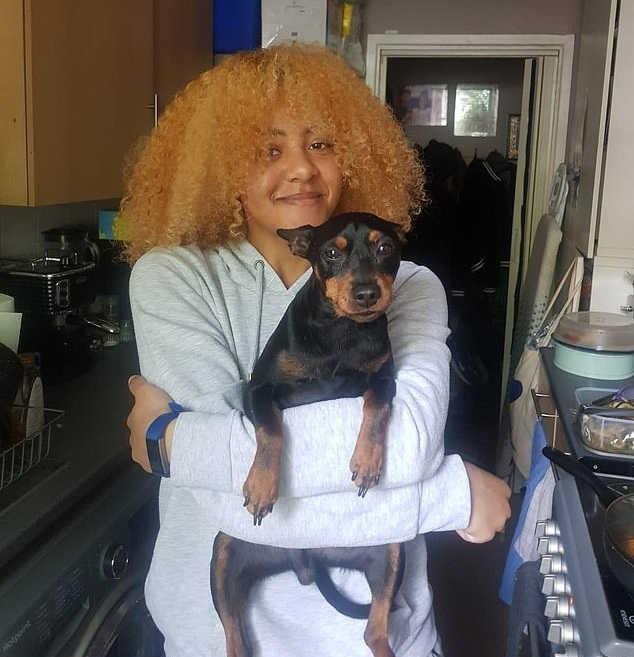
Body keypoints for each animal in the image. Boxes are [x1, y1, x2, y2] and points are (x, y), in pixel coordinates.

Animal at [211, 212, 406, 657]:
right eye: (331, 252)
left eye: (386, 248)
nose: (367, 293)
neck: (343, 330)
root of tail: (306, 558)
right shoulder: (259, 391)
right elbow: (270, 430)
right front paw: (262, 486)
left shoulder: (383, 379)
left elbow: (376, 407)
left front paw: (367, 461)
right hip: (224, 555)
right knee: (234, 636)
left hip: (391, 548)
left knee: (373, 630)